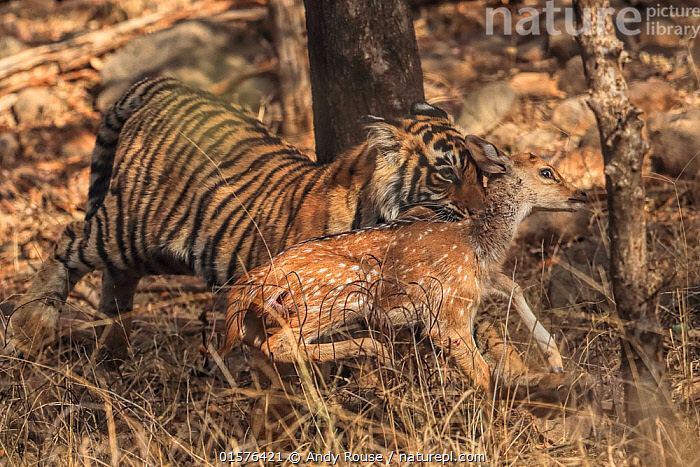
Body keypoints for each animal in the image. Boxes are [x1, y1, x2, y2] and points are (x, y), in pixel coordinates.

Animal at [4, 76, 504, 354]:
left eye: (476, 171)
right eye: (445, 174)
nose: (482, 213)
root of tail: (165, 85)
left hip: (161, 250)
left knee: (118, 276)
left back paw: (116, 343)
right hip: (129, 225)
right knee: (68, 241)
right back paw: (30, 327)